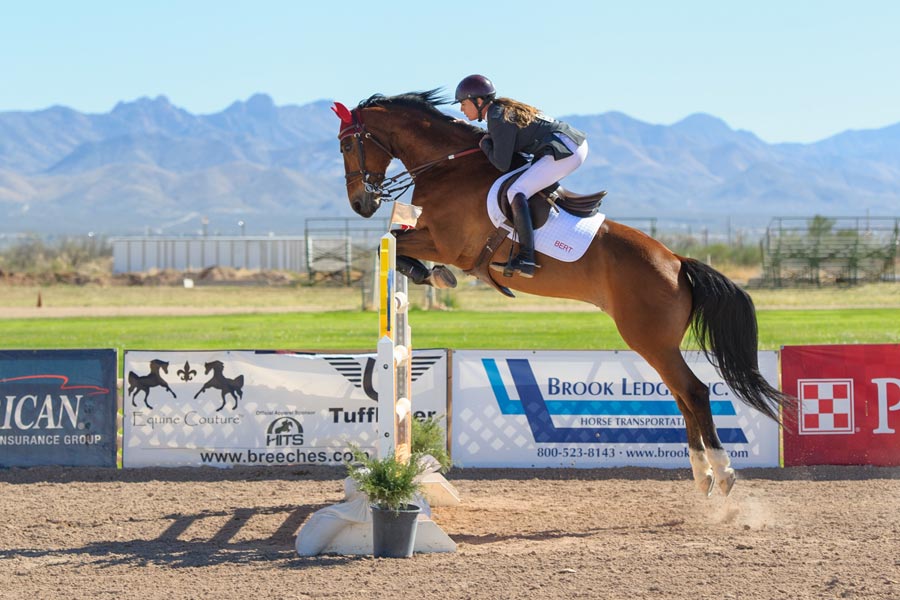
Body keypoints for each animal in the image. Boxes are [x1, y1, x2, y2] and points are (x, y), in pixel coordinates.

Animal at [334, 88, 792, 492]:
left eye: (346, 146)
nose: (360, 204)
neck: (446, 166)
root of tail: (677, 262)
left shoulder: (448, 243)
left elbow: (392, 242)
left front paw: (430, 273)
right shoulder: (435, 238)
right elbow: (393, 242)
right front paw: (428, 274)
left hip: (649, 338)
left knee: (694, 391)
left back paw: (723, 473)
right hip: (659, 343)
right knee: (682, 395)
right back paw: (702, 476)